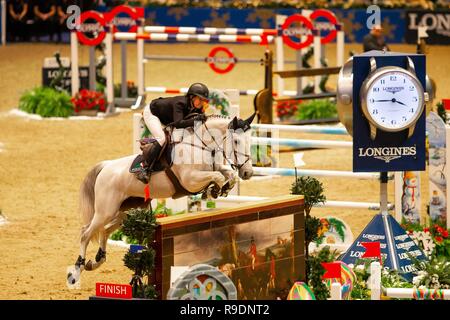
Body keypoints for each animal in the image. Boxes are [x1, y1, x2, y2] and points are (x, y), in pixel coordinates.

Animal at [68, 113, 255, 282]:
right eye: (236, 141)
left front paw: (220, 189)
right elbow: (218, 176)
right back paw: (76, 270)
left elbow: (228, 174)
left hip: (124, 211)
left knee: (104, 231)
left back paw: (96, 261)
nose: (248, 172)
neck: (200, 147)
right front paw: (214, 190)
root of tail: (105, 167)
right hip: (105, 211)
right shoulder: (190, 181)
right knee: (85, 233)